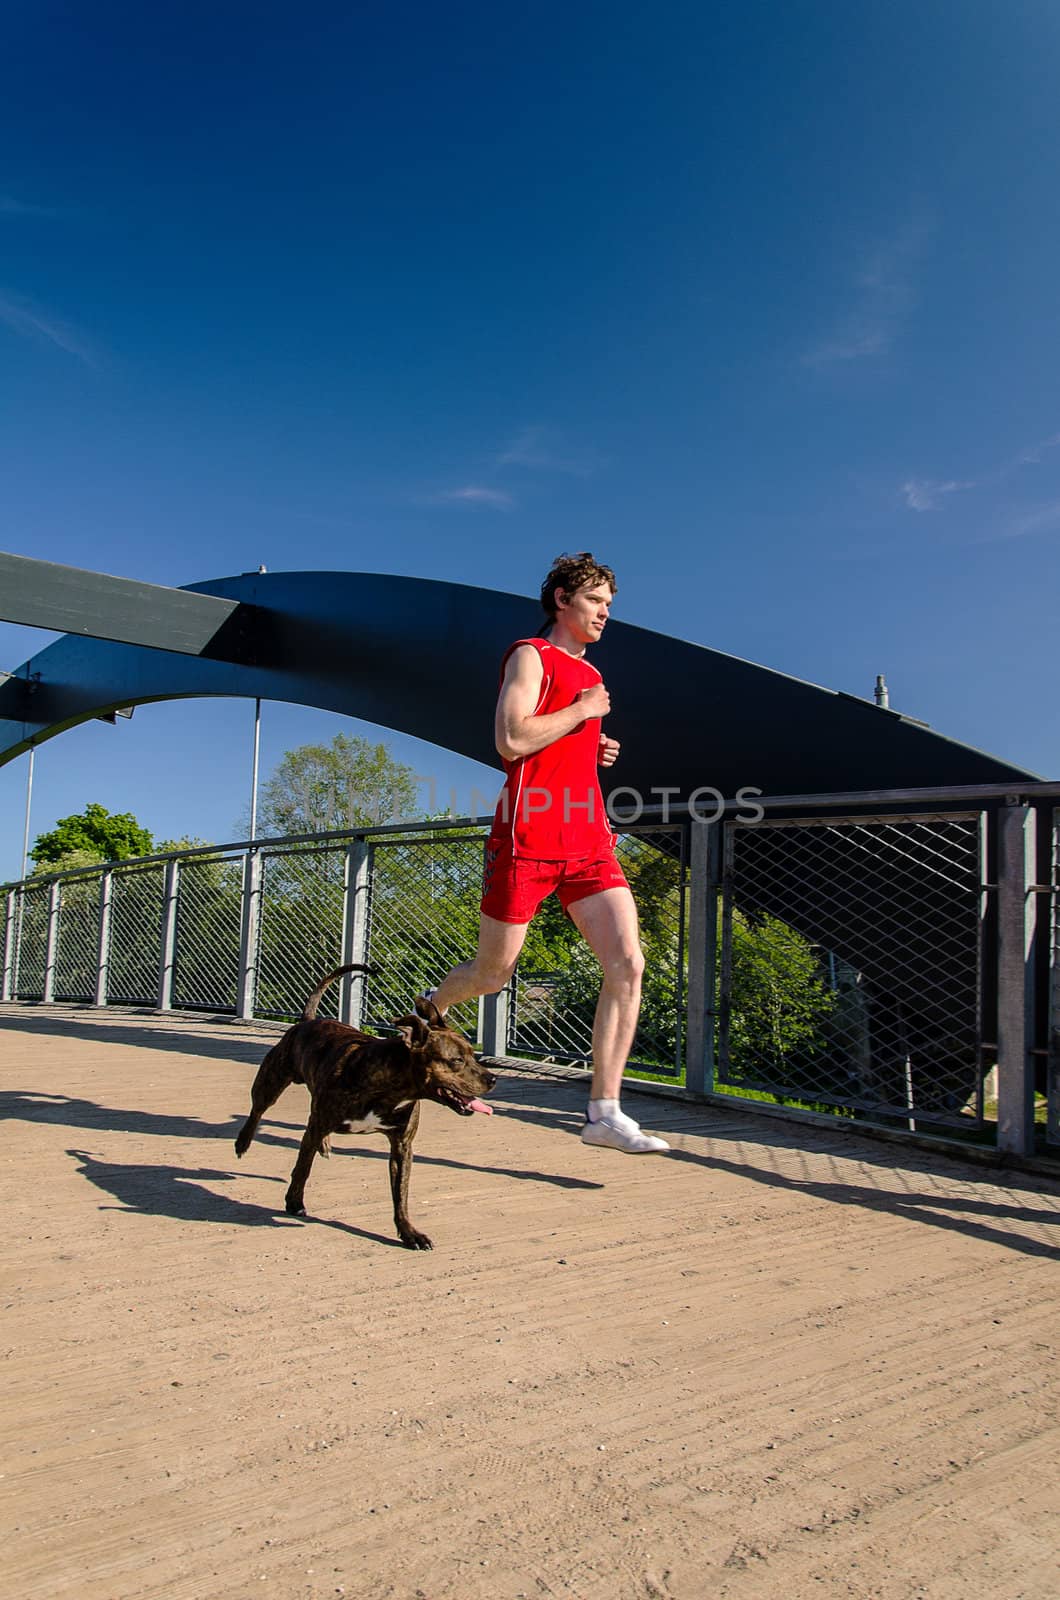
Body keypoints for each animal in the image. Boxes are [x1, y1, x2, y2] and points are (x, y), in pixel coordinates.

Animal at [235, 960, 496, 1248]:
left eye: (473, 1054)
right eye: (457, 1060)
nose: (492, 1079)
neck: (391, 1089)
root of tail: (307, 1021)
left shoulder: (402, 1146)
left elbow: (400, 1193)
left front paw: (409, 1232)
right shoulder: (318, 1123)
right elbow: (302, 1167)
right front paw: (294, 1202)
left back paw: (323, 1144)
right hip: (272, 1079)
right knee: (258, 1110)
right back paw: (243, 1142)